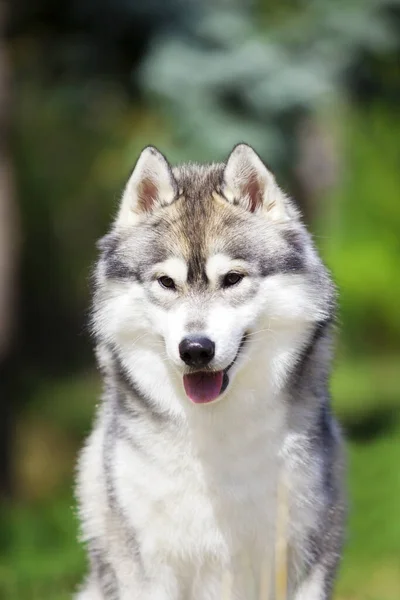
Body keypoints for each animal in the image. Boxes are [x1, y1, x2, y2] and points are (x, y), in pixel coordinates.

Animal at [76, 143, 346, 596]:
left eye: (232, 278)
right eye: (166, 282)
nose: (196, 349)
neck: (215, 433)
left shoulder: (301, 553)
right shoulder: (147, 565)